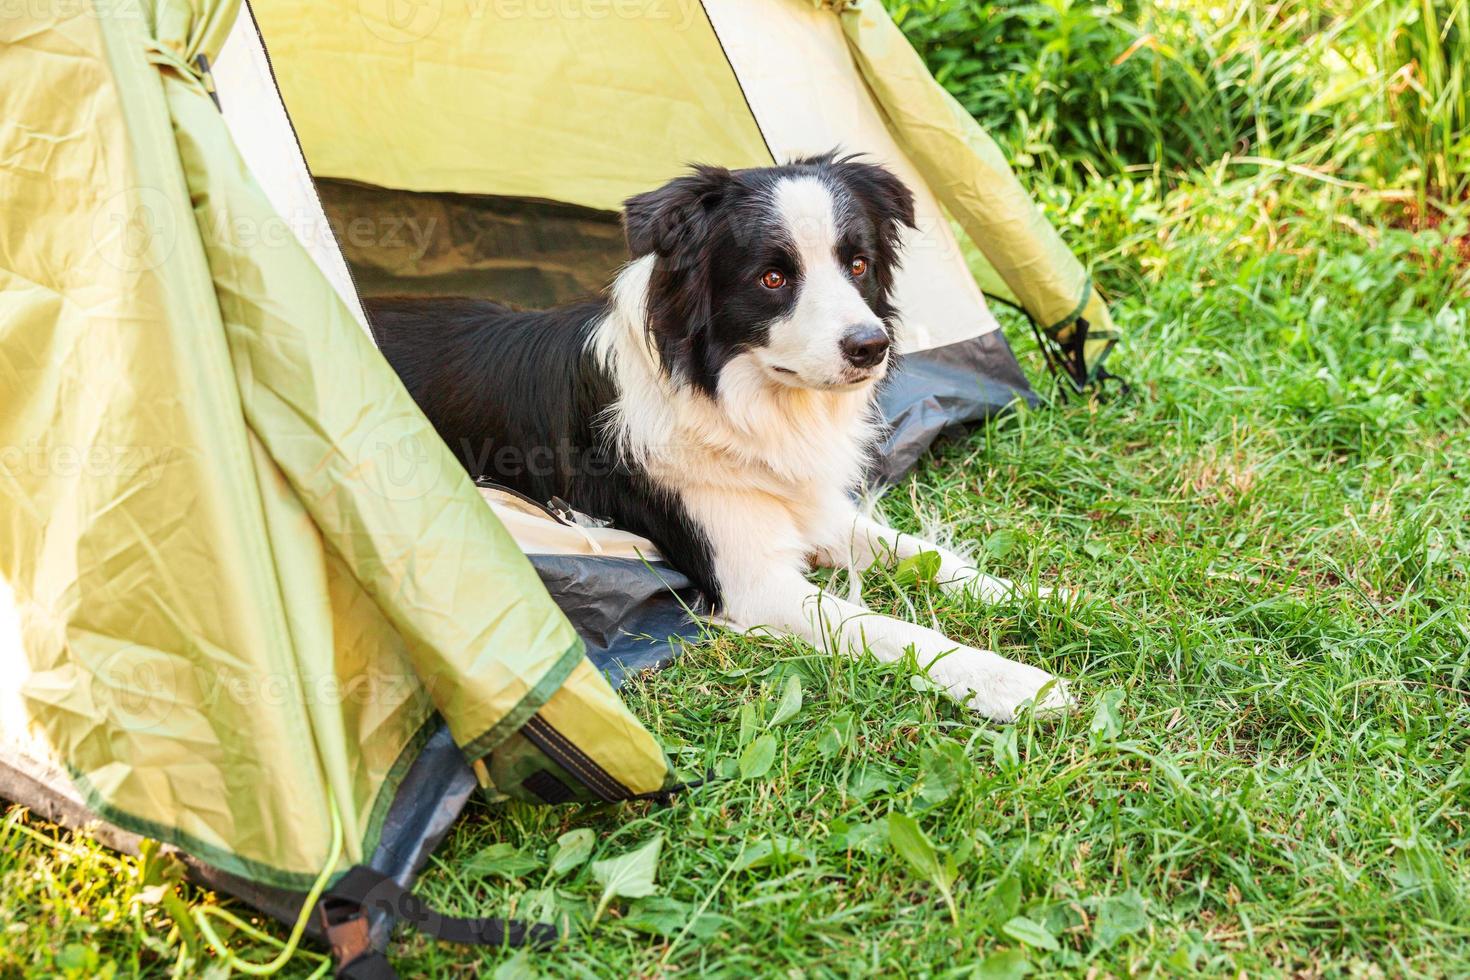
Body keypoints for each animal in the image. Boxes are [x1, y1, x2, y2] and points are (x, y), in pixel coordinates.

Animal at [373, 153, 1076, 719]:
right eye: (773, 278)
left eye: (857, 265)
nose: (871, 347)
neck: (743, 404)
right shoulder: (753, 579)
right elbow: (889, 629)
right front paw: (1016, 683)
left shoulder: (811, 504)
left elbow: (931, 557)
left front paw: (1048, 596)